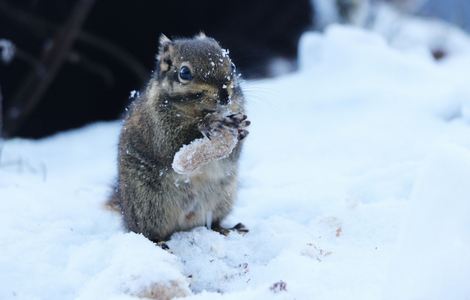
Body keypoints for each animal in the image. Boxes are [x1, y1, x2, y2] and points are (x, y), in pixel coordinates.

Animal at [109, 34, 250, 243]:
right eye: (184, 73)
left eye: (231, 65)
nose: (225, 94)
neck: (201, 110)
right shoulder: (157, 127)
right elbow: (171, 145)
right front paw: (208, 124)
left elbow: (233, 153)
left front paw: (240, 130)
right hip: (148, 204)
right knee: (148, 232)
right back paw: (159, 243)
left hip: (223, 197)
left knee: (213, 222)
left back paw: (227, 229)